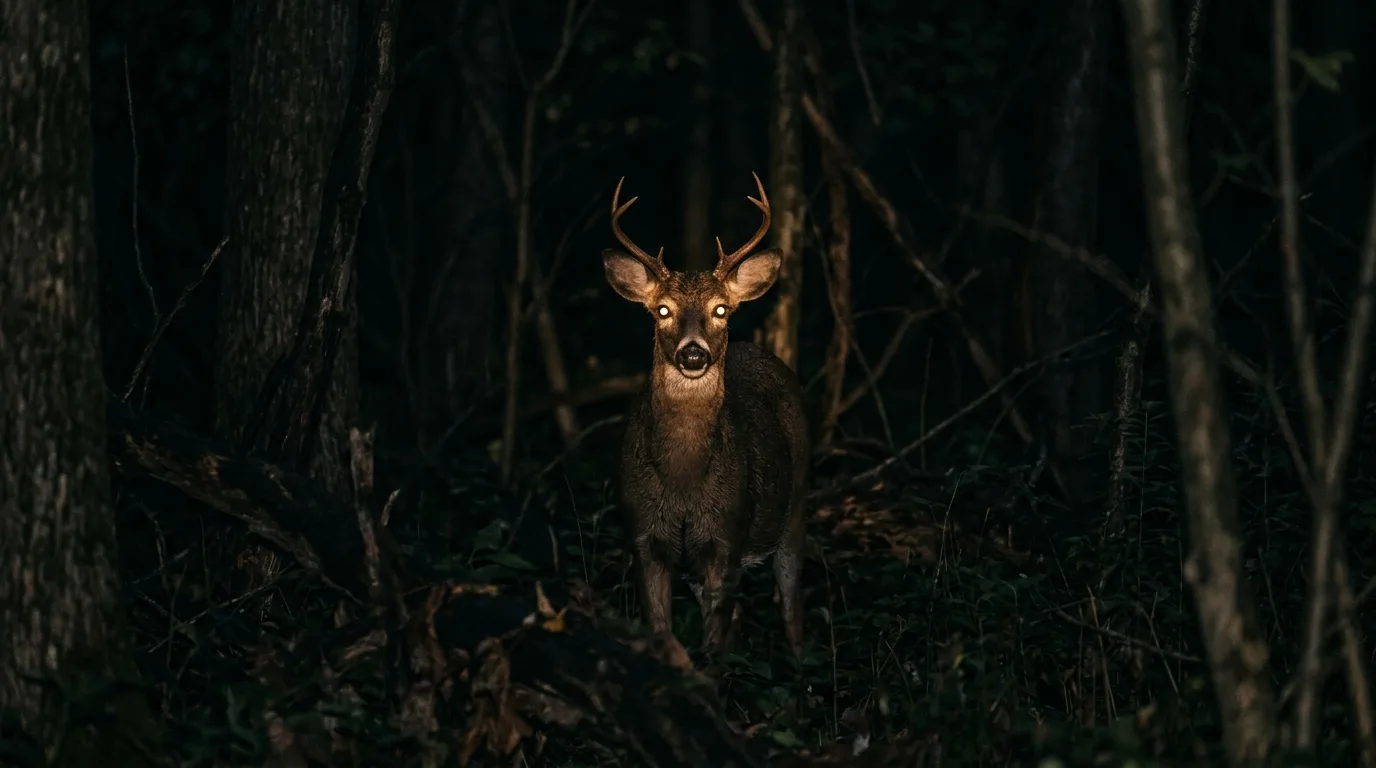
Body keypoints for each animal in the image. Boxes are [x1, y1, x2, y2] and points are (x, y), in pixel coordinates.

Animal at [601, 173, 809, 663]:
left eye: (720, 309)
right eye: (662, 309)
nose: (693, 353)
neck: (683, 480)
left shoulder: (727, 535)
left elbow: (714, 642)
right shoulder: (643, 534)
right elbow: (662, 633)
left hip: (795, 506)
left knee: (792, 610)